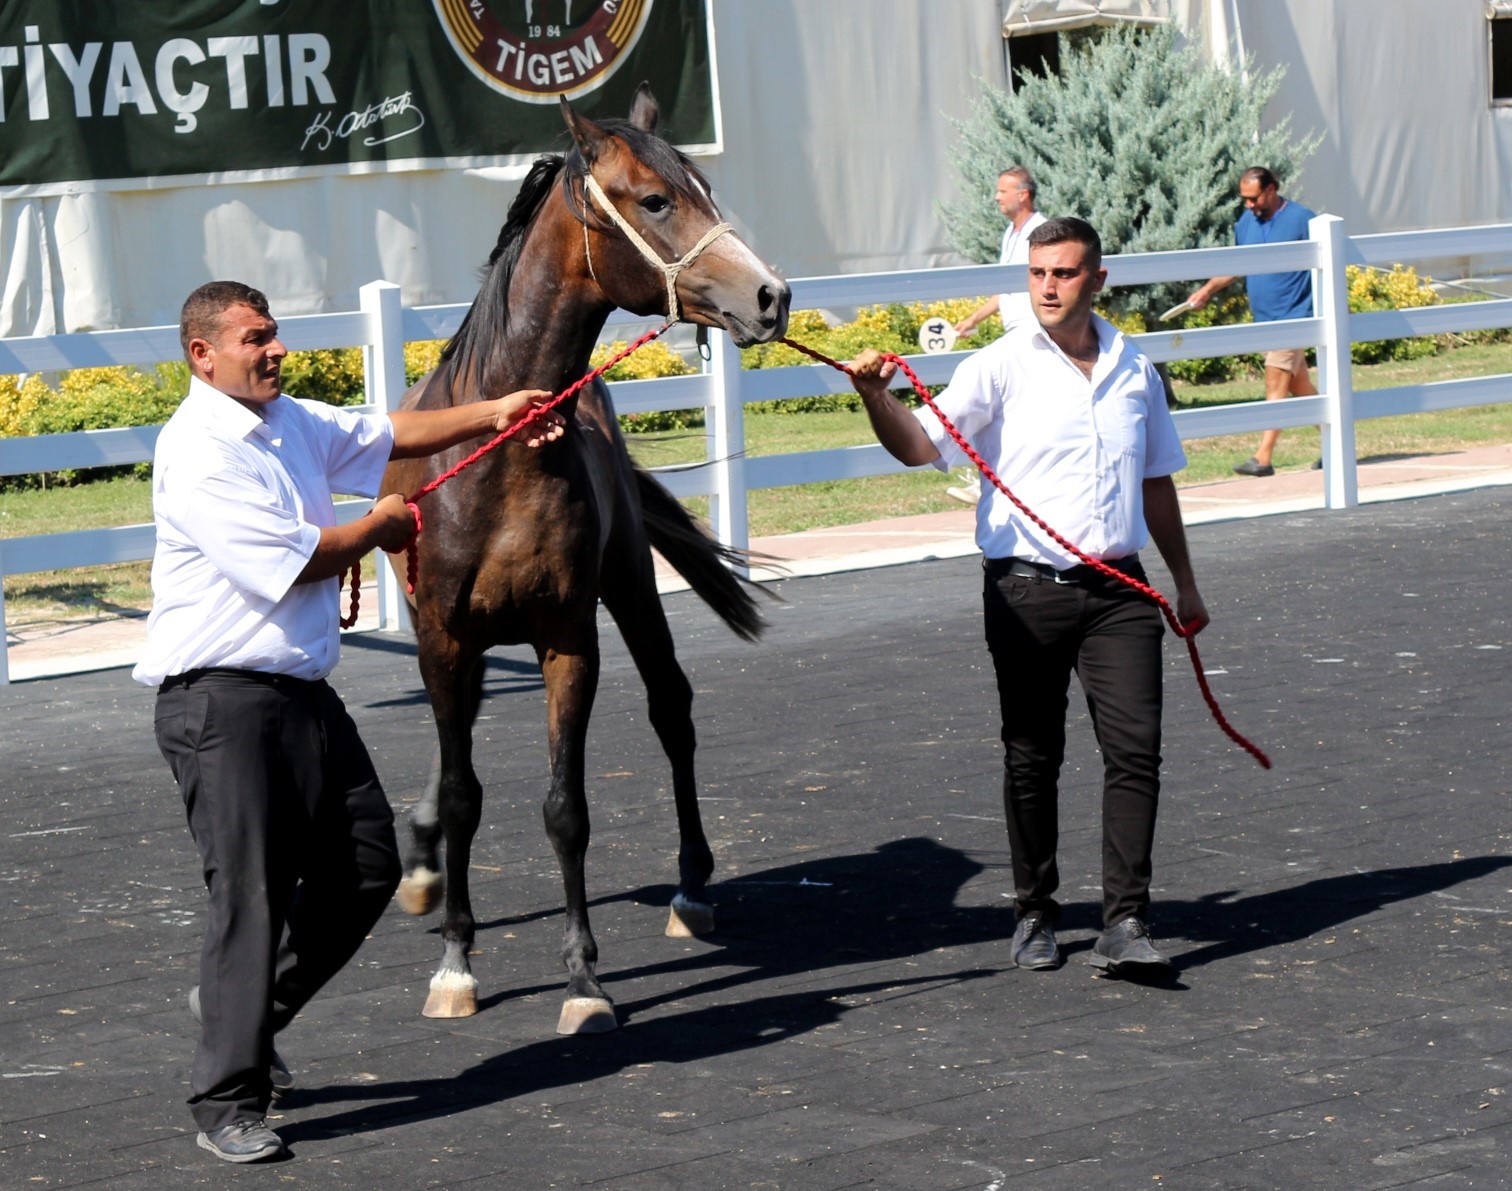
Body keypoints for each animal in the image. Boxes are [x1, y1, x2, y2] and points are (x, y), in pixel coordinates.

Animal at [381, 86, 792, 1033]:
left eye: (705, 188)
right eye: (656, 200)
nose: (771, 295)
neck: (498, 450)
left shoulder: (569, 638)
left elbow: (565, 808)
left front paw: (582, 980)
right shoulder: (441, 636)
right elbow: (463, 793)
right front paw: (455, 963)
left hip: (632, 585)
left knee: (672, 709)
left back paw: (692, 887)